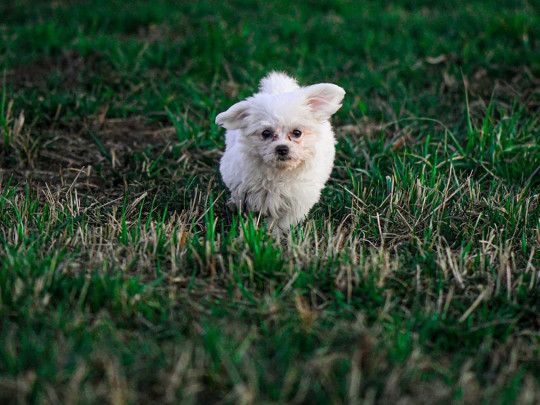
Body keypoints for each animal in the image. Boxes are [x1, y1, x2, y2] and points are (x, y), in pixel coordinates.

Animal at [216, 71, 346, 232]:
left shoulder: (297, 201)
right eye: (266, 133)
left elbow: (284, 222)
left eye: (297, 133)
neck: (277, 173)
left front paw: (274, 234)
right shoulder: (242, 190)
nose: (282, 148)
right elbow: (246, 209)